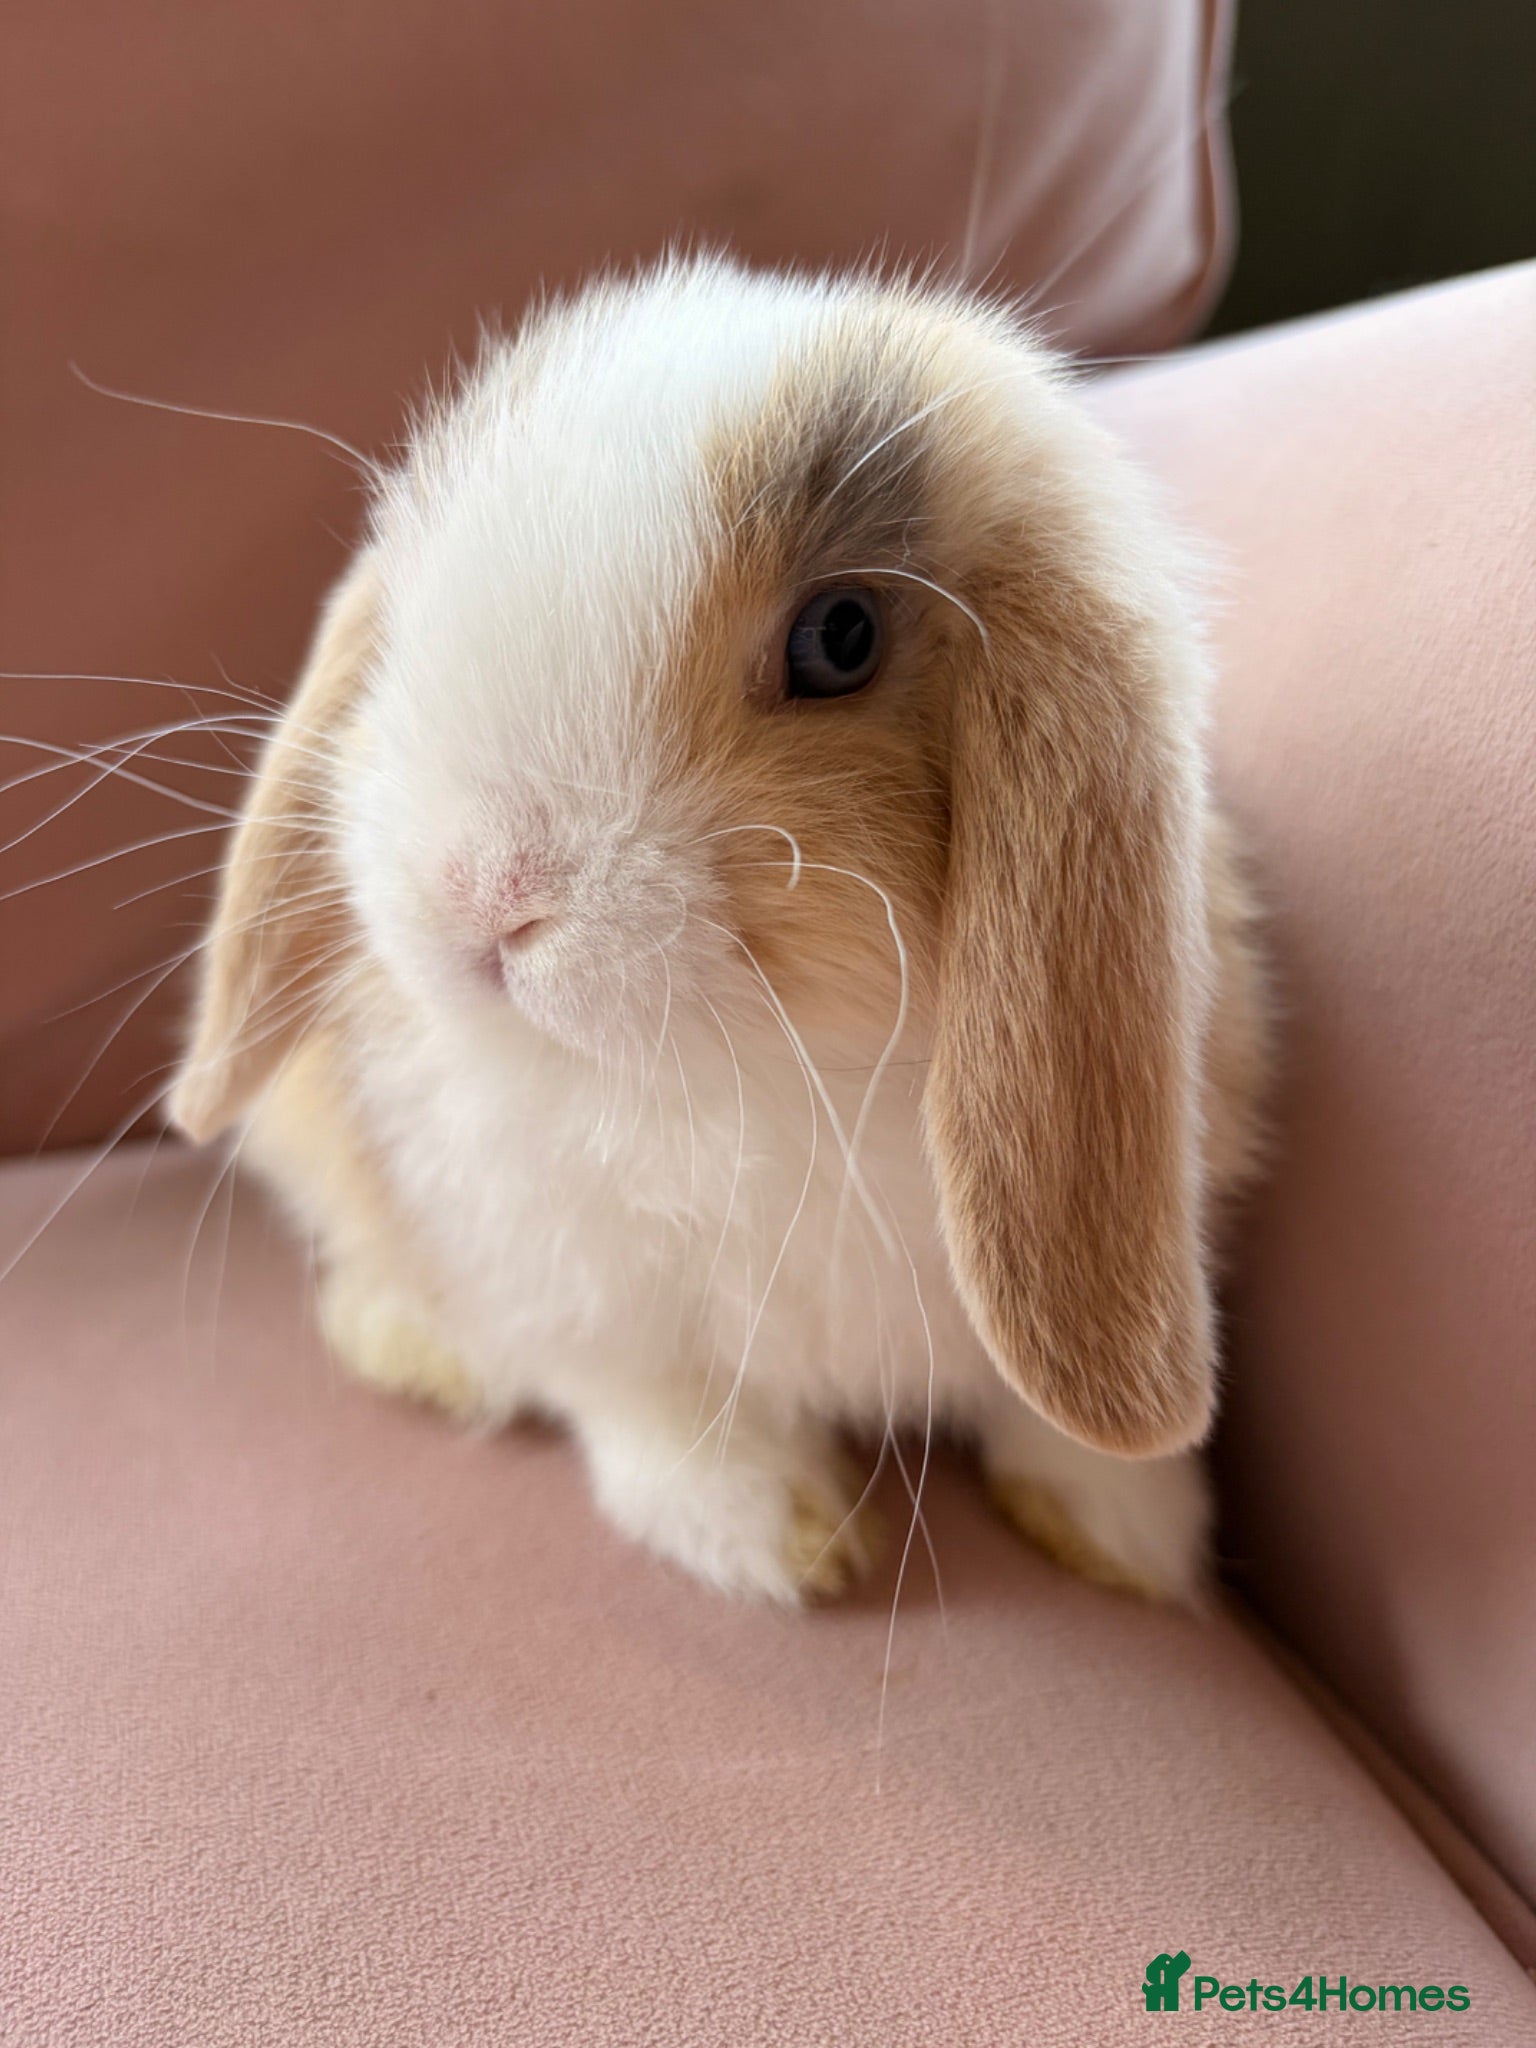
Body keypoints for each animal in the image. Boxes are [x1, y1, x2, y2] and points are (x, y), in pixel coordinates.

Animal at [169, 255, 1268, 1606]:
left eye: (840, 636)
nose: (479, 887)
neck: (759, 1075)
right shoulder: (574, 1290)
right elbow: (655, 1404)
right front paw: (779, 1536)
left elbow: (1041, 1408)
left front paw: (1128, 1538)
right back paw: (423, 1348)